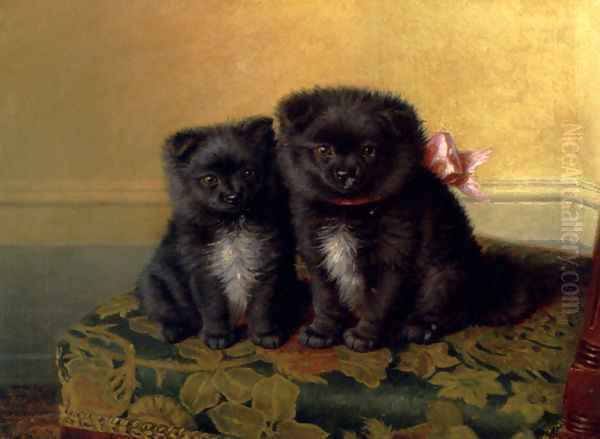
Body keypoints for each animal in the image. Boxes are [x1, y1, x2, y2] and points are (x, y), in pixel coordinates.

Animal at [137, 117, 296, 350]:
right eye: (210, 179)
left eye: (248, 173)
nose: (233, 195)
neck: (232, 225)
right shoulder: (205, 272)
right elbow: (214, 307)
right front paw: (217, 336)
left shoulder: (266, 267)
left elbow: (262, 307)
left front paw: (265, 334)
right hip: (154, 287)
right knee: (166, 312)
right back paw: (172, 331)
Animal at [274, 87, 536, 352]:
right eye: (323, 150)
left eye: (369, 150)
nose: (346, 173)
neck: (348, 210)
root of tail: (484, 291)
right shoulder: (318, 256)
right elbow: (326, 300)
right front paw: (322, 331)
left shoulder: (392, 259)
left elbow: (377, 304)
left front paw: (363, 337)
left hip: (443, 274)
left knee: (449, 312)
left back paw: (420, 328)